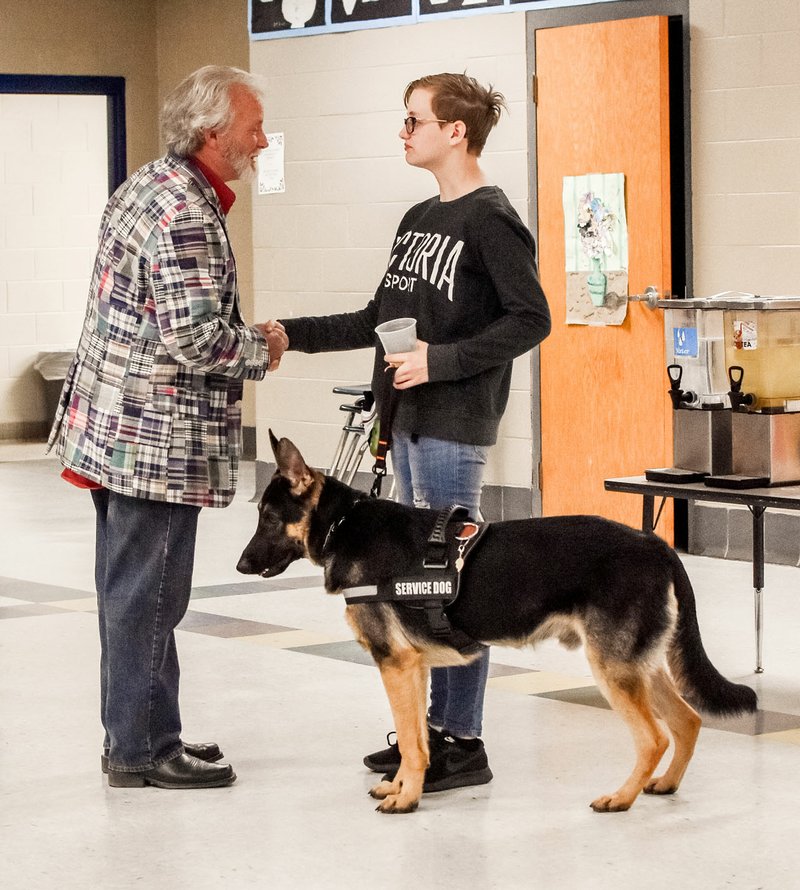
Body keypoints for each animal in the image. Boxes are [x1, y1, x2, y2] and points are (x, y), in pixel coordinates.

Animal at [238, 434, 756, 816]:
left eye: (268, 517)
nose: (240, 565)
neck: (342, 525)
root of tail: (657, 545)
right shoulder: (412, 668)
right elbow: (415, 738)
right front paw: (403, 788)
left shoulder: (395, 665)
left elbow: (411, 743)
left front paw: (407, 799)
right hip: (638, 666)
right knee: (687, 721)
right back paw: (665, 784)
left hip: (612, 669)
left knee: (654, 737)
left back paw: (621, 797)